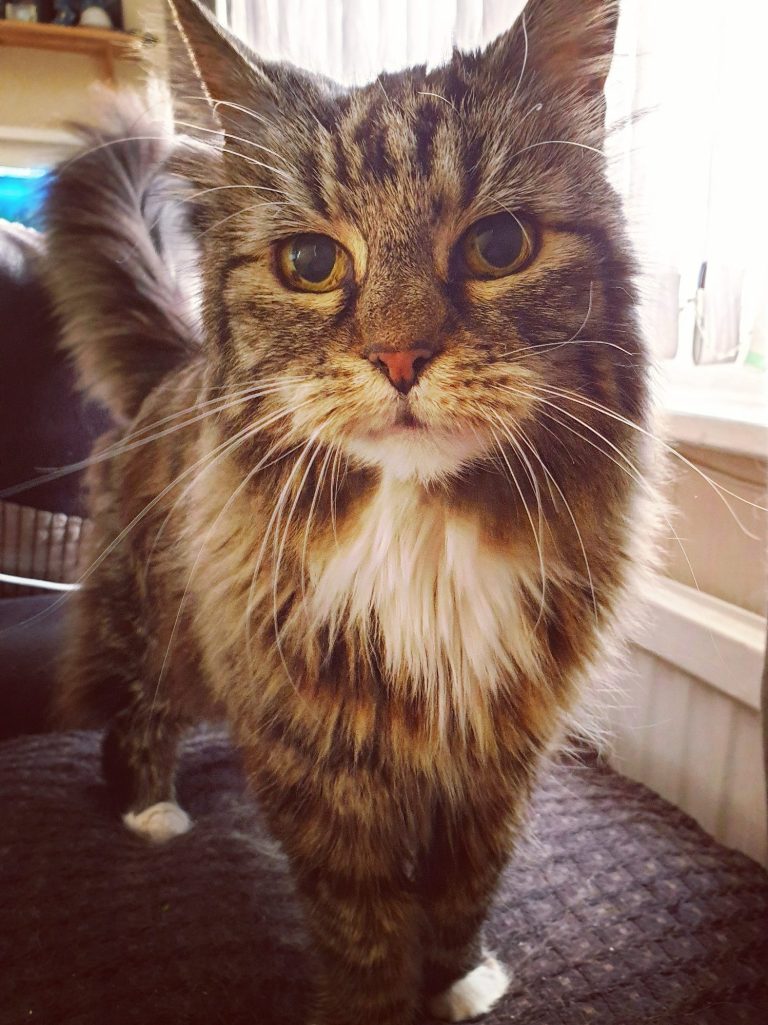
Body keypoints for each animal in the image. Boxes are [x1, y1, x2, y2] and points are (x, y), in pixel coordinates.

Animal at [44, 2, 652, 1025]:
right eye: (311, 262)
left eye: (498, 247)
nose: (400, 357)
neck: (420, 539)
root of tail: (173, 361)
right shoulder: (320, 751)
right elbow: (361, 920)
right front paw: (379, 1001)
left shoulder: (498, 748)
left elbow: (463, 889)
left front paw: (457, 983)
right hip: (156, 622)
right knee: (134, 715)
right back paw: (152, 809)